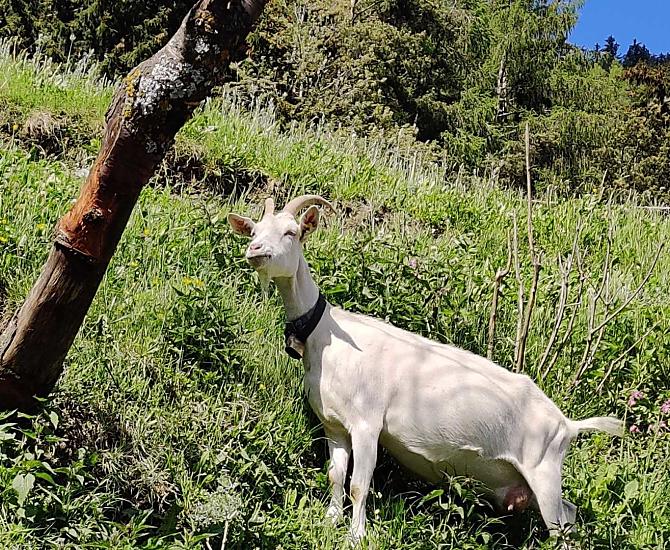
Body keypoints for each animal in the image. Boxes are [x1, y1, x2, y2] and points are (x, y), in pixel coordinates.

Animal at [228, 195, 624, 541]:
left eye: (291, 232)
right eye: (254, 230)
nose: (255, 251)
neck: (328, 336)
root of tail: (567, 425)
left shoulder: (367, 424)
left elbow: (359, 485)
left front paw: (356, 535)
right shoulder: (334, 425)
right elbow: (335, 477)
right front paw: (329, 521)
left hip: (544, 471)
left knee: (560, 524)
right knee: (569, 513)